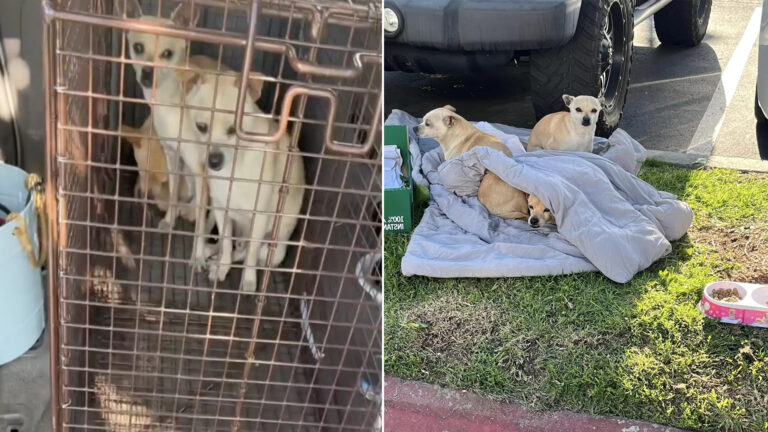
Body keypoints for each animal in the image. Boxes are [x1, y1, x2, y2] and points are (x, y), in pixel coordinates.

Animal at [183, 71, 306, 294]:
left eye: (234, 130)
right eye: (201, 127)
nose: (214, 161)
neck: (234, 170)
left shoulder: (259, 219)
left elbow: (250, 256)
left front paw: (248, 281)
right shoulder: (221, 210)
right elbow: (226, 242)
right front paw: (222, 266)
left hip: (274, 250)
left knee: (249, 252)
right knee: (228, 245)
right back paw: (209, 252)